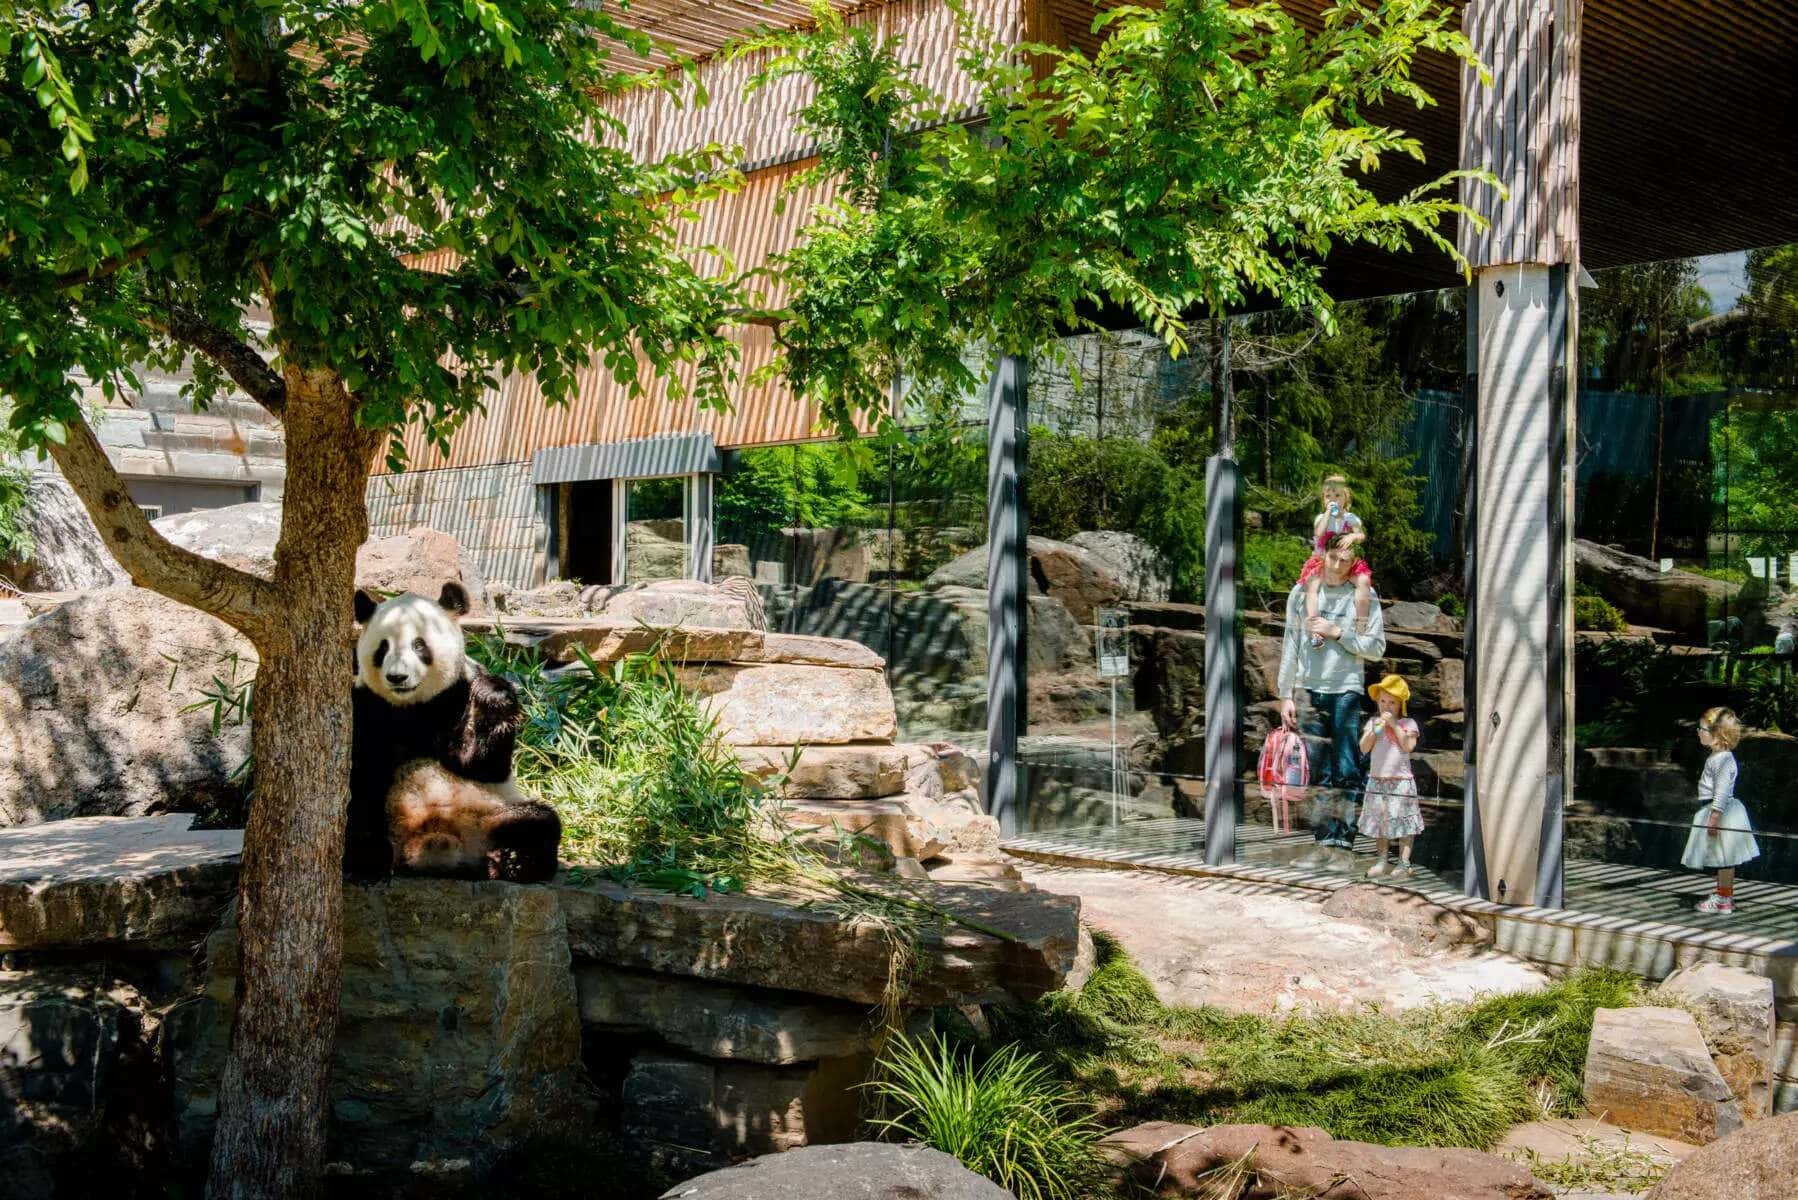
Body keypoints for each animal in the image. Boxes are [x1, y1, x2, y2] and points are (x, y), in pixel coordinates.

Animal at [343, 582, 553, 881]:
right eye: (382, 648)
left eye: (419, 645)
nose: (397, 677)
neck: (413, 706)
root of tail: (436, 841)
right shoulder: (368, 705)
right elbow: (364, 769)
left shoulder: (459, 690)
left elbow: (483, 765)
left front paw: (493, 698)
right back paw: (367, 857)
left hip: (496, 808)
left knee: (540, 823)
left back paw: (513, 861)